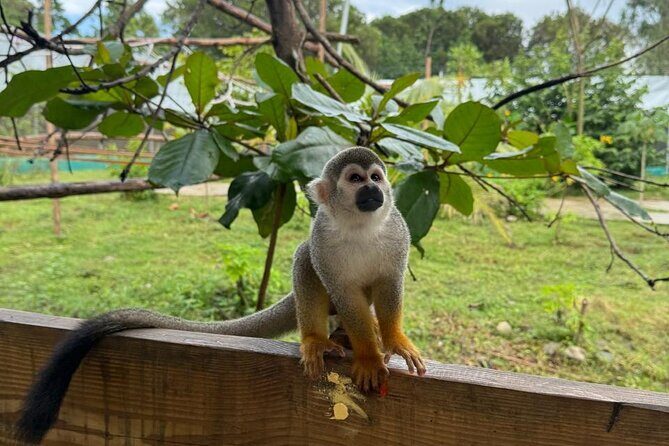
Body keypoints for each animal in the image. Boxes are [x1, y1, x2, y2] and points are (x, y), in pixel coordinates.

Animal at [15, 147, 425, 444]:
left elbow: (390, 283)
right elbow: (339, 287)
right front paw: (369, 355)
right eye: (356, 179)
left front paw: (392, 340)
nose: (374, 190)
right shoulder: (323, 236)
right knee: (305, 257)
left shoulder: (398, 232)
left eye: (376, 177)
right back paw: (317, 339)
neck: (359, 227)